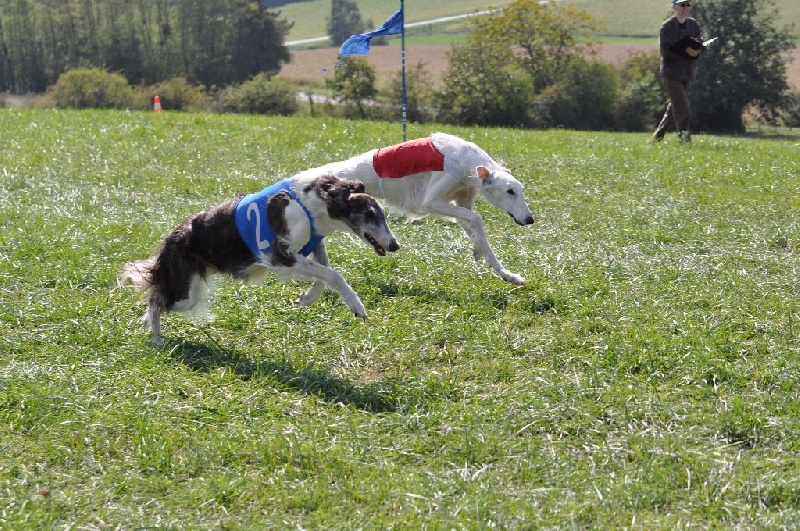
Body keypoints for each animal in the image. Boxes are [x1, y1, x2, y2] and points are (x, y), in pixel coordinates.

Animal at [121, 173, 400, 346]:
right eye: (370, 214)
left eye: (382, 215)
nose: (395, 245)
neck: (313, 206)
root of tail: (173, 236)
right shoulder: (280, 256)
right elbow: (334, 274)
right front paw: (357, 306)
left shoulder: (313, 244)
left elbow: (324, 276)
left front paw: (307, 298)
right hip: (184, 294)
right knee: (155, 300)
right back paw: (157, 338)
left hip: (189, 291)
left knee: (155, 296)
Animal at [291, 133, 534, 305]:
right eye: (510, 191)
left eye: (520, 190)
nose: (530, 219)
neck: (463, 159)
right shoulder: (431, 202)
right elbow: (477, 219)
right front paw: (479, 251)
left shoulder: (460, 203)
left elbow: (479, 234)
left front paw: (507, 274)